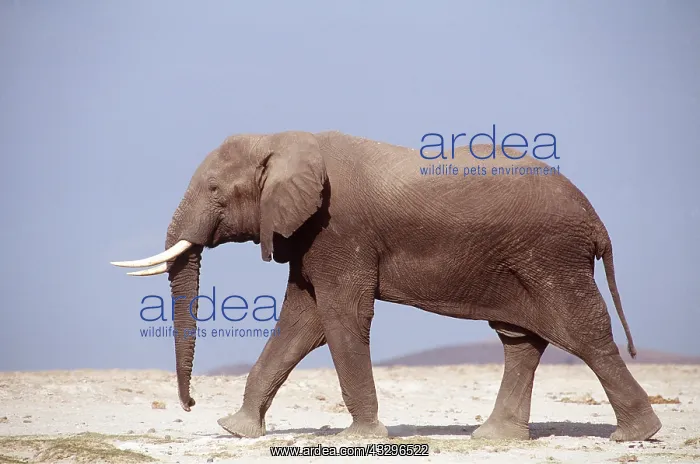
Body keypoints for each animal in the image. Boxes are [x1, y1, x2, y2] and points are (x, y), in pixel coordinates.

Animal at [111, 130, 662, 442]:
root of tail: (597, 222)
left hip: (552, 256)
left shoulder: (338, 228)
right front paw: (236, 429)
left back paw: (635, 436)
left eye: (215, 191)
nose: (190, 406)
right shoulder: (309, 234)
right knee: (519, 340)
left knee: (583, 332)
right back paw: (493, 439)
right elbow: (301, 322)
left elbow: (340, 317)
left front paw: (355, 439)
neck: (285, 141)